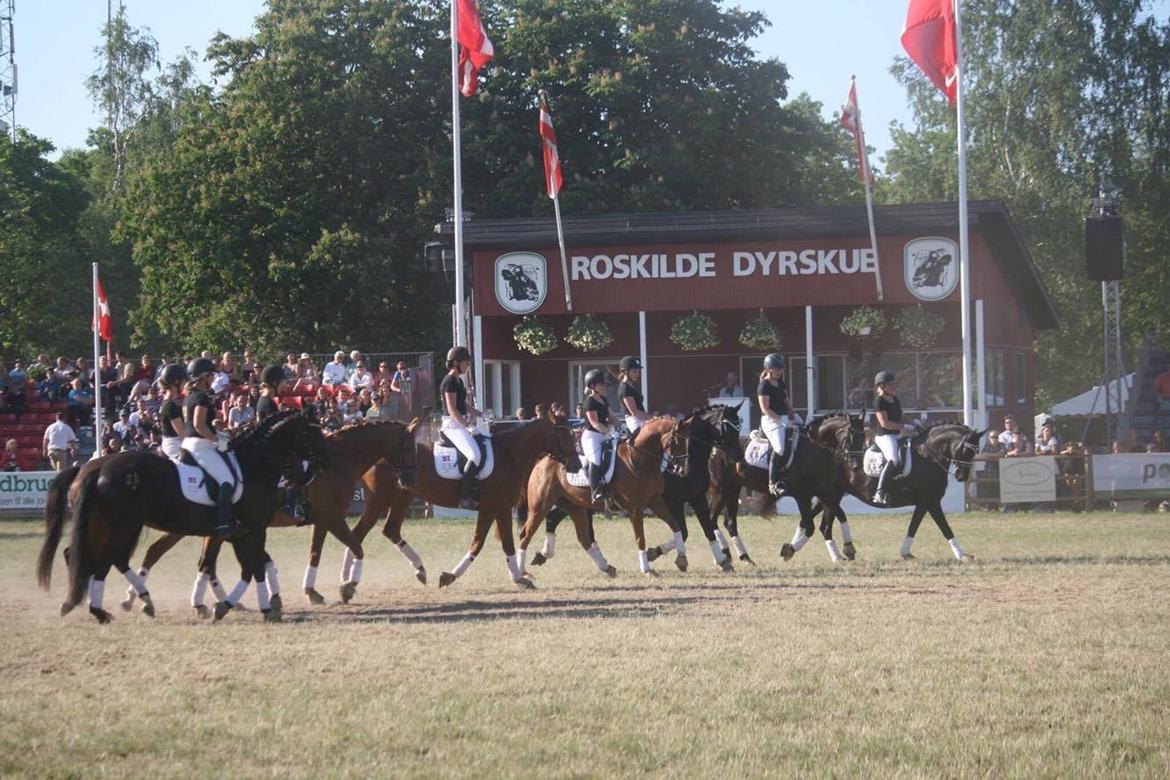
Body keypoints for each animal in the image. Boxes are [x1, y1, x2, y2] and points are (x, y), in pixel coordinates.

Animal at [37, 411, 325, 626]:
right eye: (312, 431)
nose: (312, 472)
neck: (253, 466)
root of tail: (93, 468)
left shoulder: (236, 533)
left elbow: (239, 565)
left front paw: (227, 604)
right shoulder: (252, 530)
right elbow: (251, 567)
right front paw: (258, 606)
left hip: (110, 525)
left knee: (89, 555)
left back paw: (113, 601)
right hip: (122, 525)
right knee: (105, 559)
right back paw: (100, 609)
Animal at [117, 420, 416, 617]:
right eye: (410, 447)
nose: (408, 480)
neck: (338, 461)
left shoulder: (322, 522)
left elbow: (314, 553)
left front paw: (311, 592)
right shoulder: (332, 519)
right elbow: (357, 547)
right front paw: (348, 587)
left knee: (188, 558)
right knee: (162, 553)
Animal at [517, 418, 687, 577]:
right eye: (676, 441)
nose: (682, 470)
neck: (638, 459)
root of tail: (542, 460)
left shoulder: (655, 501)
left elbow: (675, 525)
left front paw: (682, 558)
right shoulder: (634, 509)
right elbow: (640, 538)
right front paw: (646, 569)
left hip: (575, 506)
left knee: (582, 537)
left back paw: (605, 566)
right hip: (540, 507)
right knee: (526, 534)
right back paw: (522, 571)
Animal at [702, 411, 870, 563]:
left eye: (863, 438)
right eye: (850, 437)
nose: (856, 466)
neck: (815, 449)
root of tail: (714, 448)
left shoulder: (826, 493)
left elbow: (832, 518)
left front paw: (845, 549)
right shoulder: (803, 495)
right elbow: (810, 526)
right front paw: (789, 550)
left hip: (732, 489)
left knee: (729, 523)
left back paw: (742, 557)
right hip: (721, 490)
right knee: (712, 519)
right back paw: (725, 555)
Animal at [809, 420, 982, 561]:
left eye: (975, 452)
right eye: (967, 451)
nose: (961, 476)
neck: (929, 455)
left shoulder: (923, 502)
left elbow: (913, 526)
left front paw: (906, 553)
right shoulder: (931, 501)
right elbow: (945, 527)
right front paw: (962, 555)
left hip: (830, 496)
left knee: (815, 521)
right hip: (833, 495)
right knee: (825, 527)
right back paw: (837, 556)